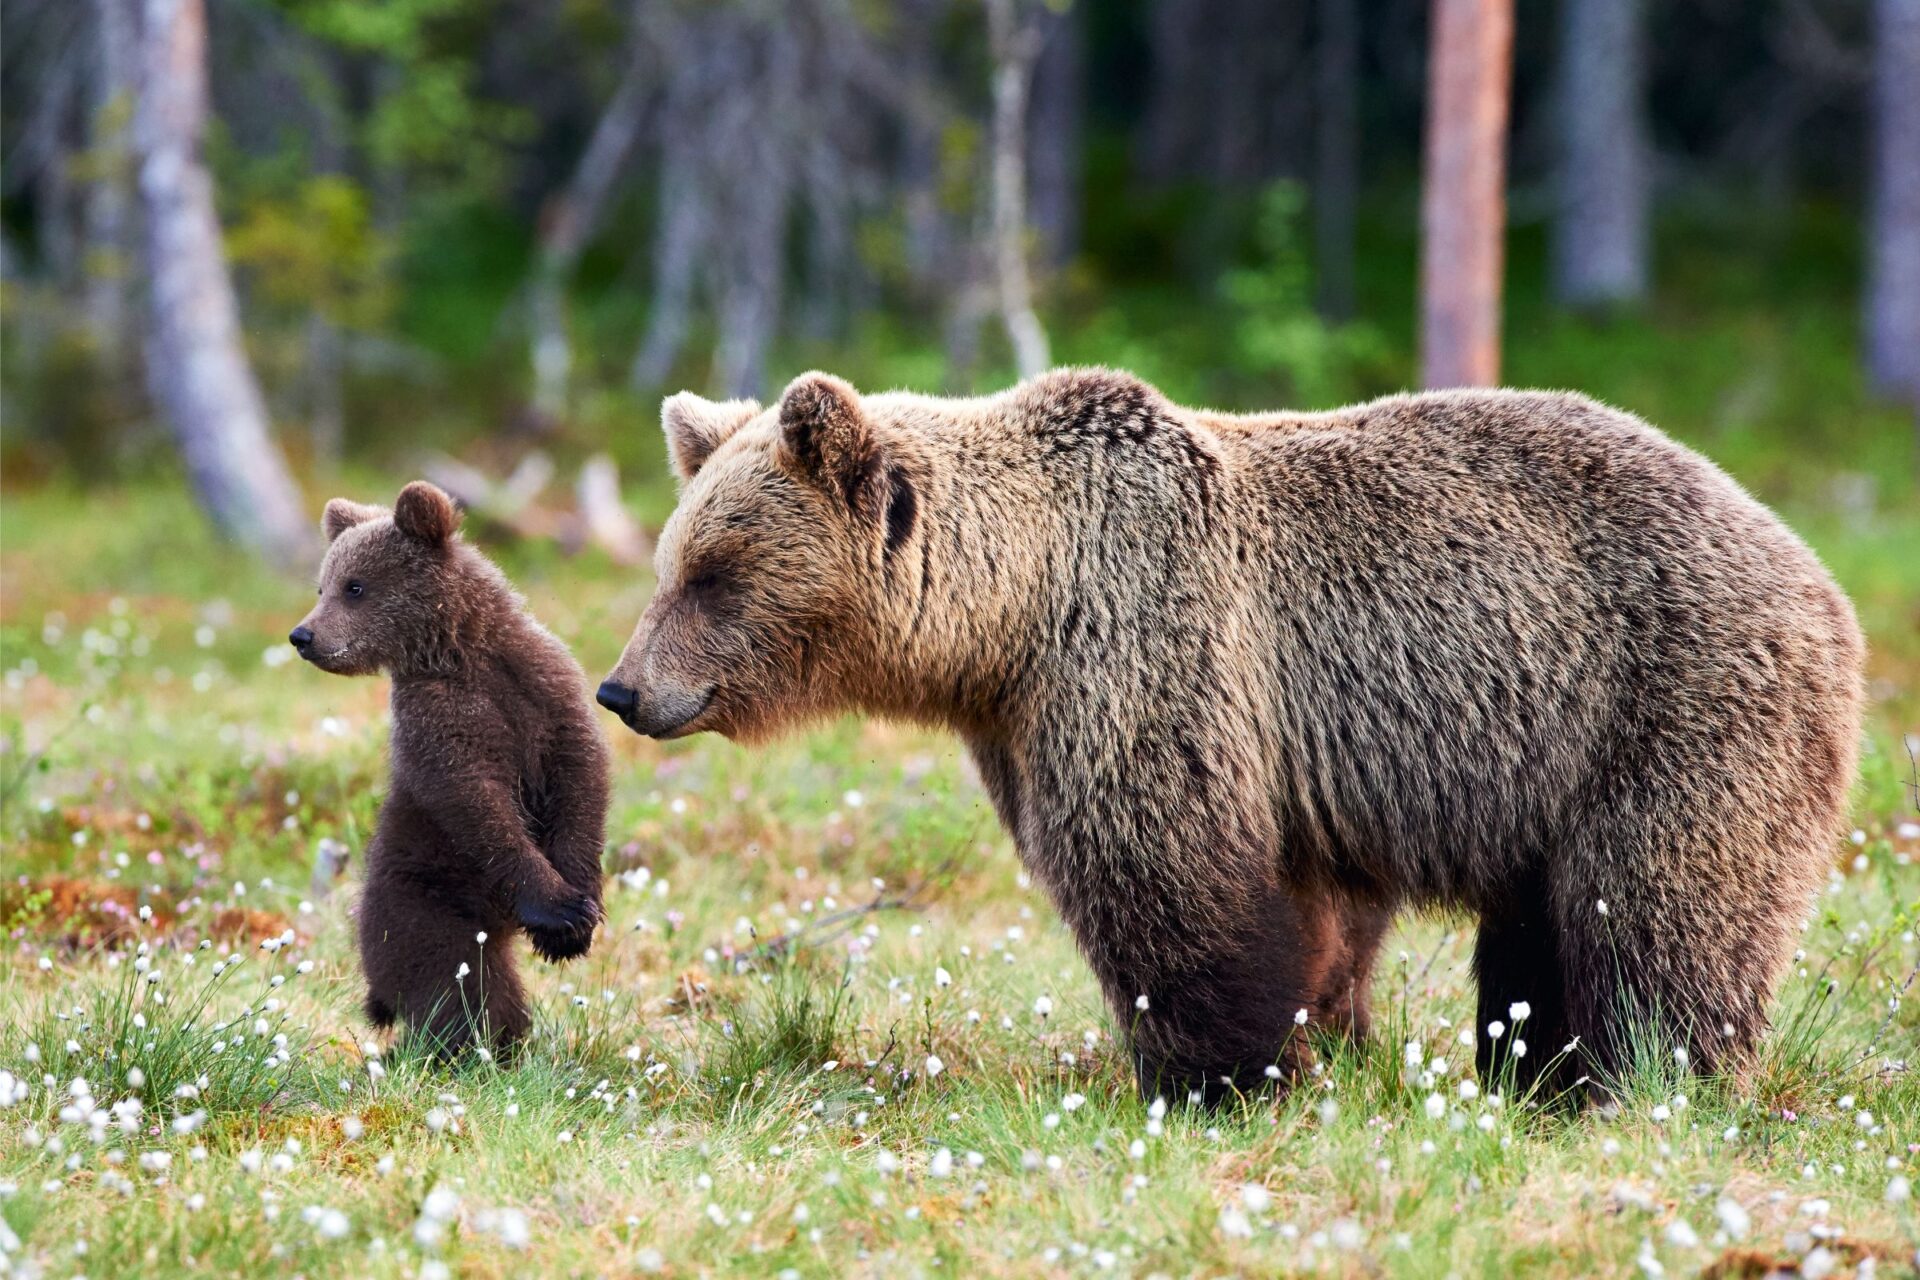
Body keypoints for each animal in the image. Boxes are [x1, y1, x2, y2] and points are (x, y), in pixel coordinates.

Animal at [291, 481, 610, 1056]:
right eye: (321, 586)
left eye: (353, 586)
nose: (303, 635)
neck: (462, 651)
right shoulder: (438, 721)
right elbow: (475, 801)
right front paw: (560, 912)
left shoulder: (545, 688)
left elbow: (581, 774)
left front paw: (581, 912)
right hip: (426, 905)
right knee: (465, 989)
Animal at [597, 369, 1863, 1104]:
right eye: (671, 560)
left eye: (716, 573)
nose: (622, 687)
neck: (1013, 615)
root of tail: (1822, 580)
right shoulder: (1042, 719)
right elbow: (1316, 913)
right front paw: (1324, 1038)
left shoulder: (1147, 652)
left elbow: (1166, 871)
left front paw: (1220, 1072)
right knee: (1544, 926)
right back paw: (1537, 1072)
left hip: (1667, 707)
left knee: (1655, 909)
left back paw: (1642, 1075)